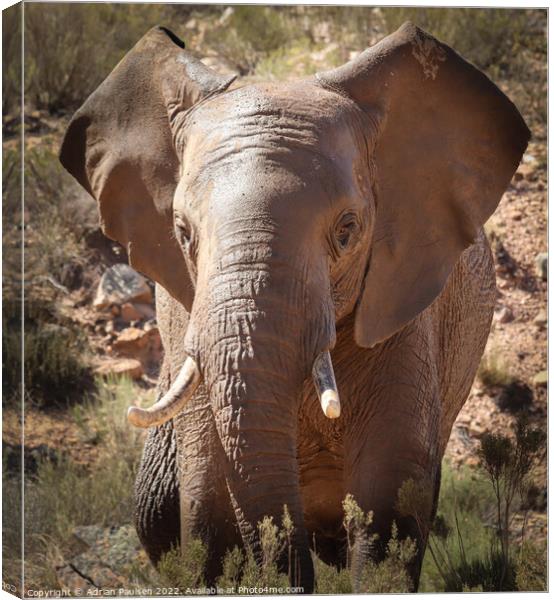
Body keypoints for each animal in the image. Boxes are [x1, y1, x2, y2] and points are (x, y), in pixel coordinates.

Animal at [59, 22, 528, 592]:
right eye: (182, 233)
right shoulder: (185, 316)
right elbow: (208, 512)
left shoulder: (406, 304)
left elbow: (389, 499)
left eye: (347, 230)